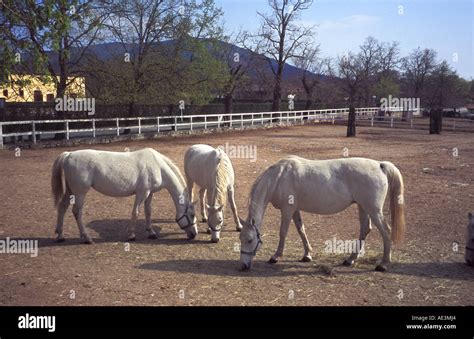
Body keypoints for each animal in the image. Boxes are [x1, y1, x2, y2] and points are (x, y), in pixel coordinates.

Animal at [51, 147, 198, 243]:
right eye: (192, 215)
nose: (194, 234)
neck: (157, 165)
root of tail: (69, 154)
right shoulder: (142, 193)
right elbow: (136, 212)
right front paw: (131, 235)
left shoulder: (149, 194)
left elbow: (148, 212)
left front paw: (151, 233)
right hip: (80, 192)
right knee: (77, 211)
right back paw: (86, 238)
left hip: (71, 191)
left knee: (62, 207)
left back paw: (60, 235)